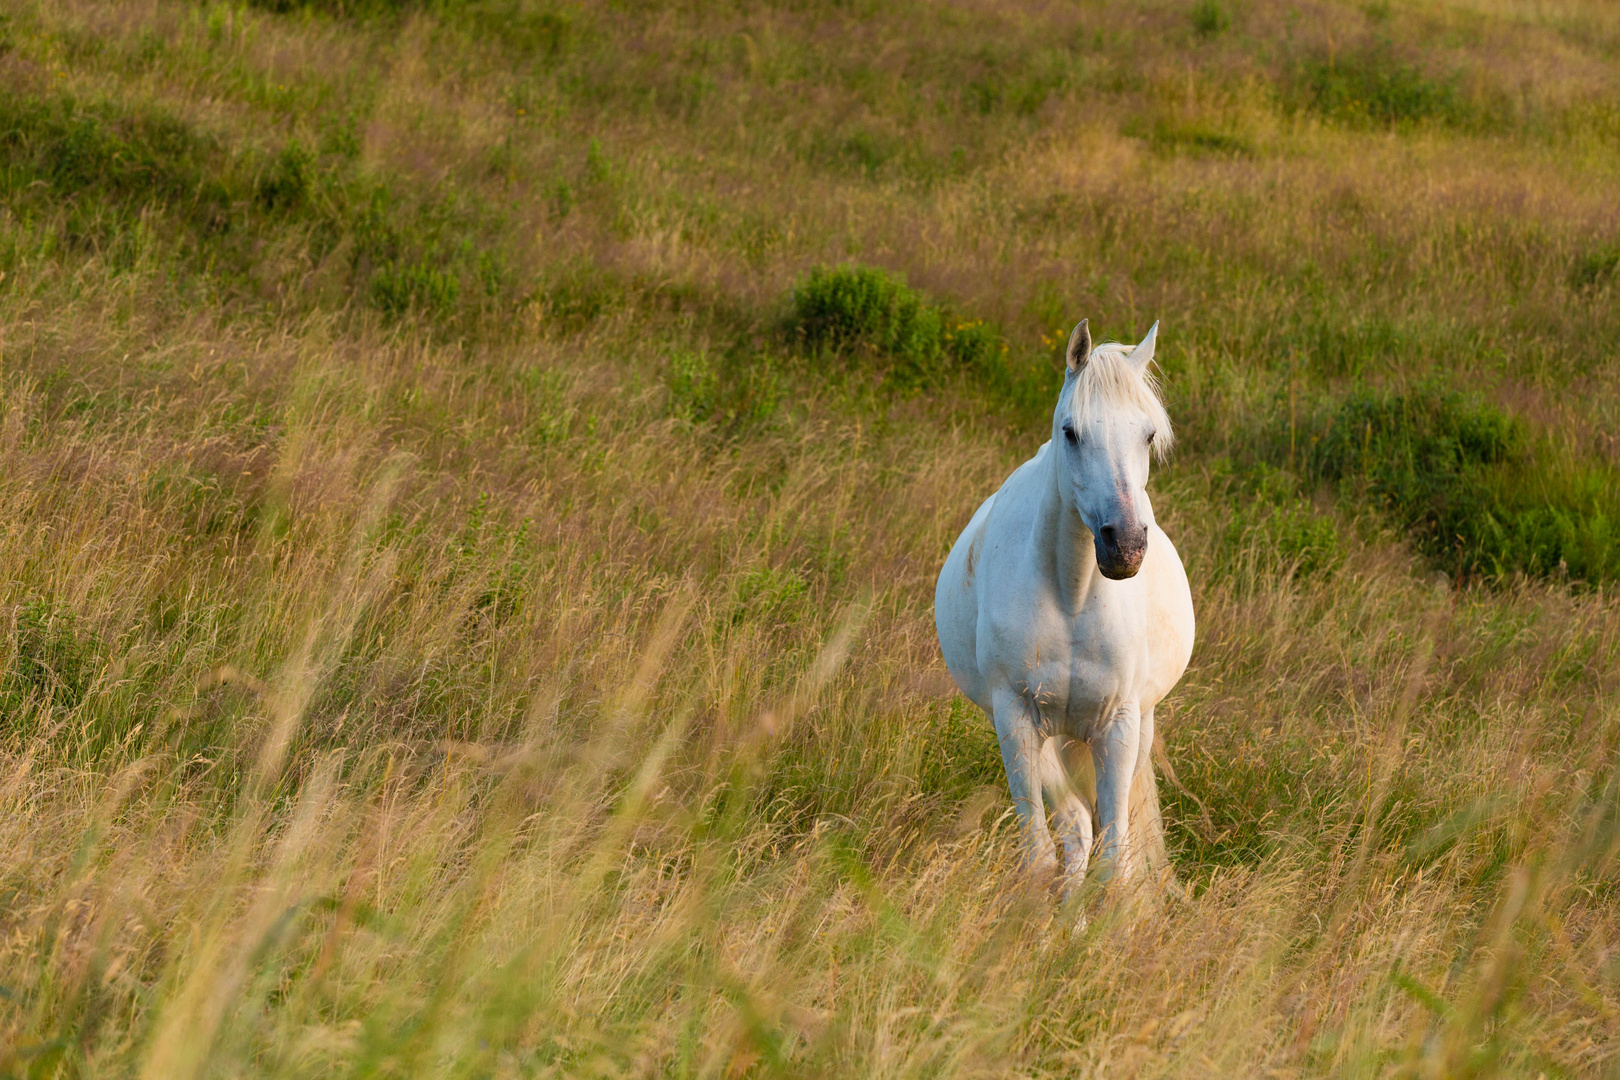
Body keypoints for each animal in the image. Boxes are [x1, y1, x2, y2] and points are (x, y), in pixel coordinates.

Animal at [939, 318, 1192, 893]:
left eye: (1148, 435)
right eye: (1072, 432)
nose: (1125, 546)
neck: (1072, 595)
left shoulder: (1119, 725)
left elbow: (1114, 857)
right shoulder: (1016, 719)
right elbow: (1044, 851)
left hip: (1131, 727)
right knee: (1074, 828)